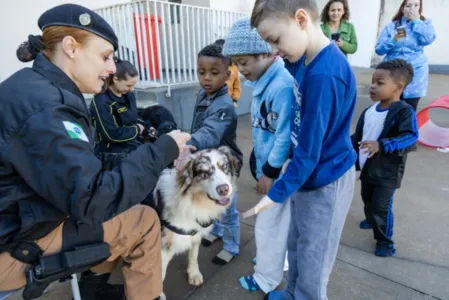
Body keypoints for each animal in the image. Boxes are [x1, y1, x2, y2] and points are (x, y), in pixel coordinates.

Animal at [150, 145, 240, 290]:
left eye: (224, 166)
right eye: (204, 172)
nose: (224, 190)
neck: (192, 201)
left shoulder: (195, 234)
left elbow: (193, 256)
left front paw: (194, 274)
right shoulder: (164, 245)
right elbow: (160, 276)